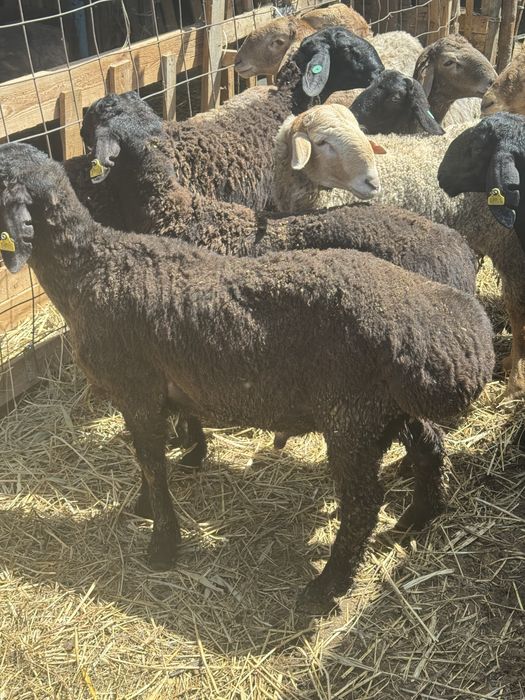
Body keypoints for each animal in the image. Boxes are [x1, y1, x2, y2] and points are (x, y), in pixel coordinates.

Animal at [0, 142, 495, 608]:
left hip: (350, 416)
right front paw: (150, 501)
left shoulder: (136, 391)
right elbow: (155, 457)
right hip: (390, 405)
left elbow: (152, 465)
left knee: (362, 504)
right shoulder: (155, 394)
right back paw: (416, 519)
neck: (92, 266)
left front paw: (162, 545)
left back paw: (326, 586)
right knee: (430, 447)